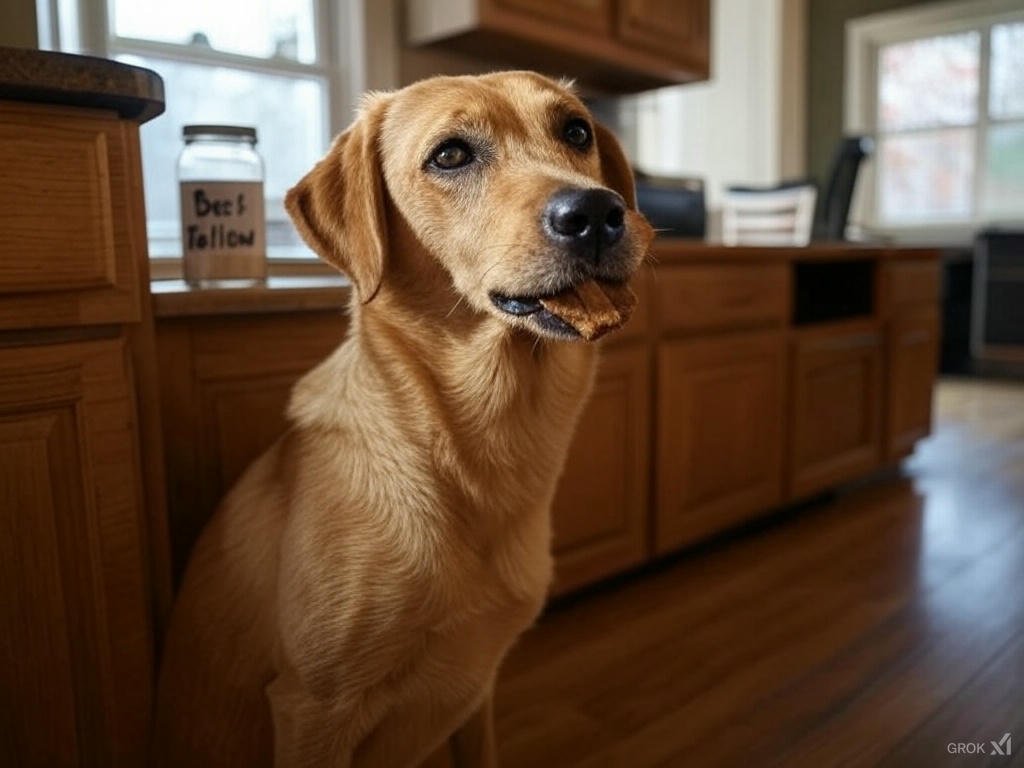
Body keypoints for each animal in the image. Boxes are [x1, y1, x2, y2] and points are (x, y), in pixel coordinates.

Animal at [155, 69, 651, 765]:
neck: (476, 449)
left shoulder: (474, 689)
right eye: (451, 154)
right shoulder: (312, 709)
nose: (597, 213)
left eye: (576, 131)